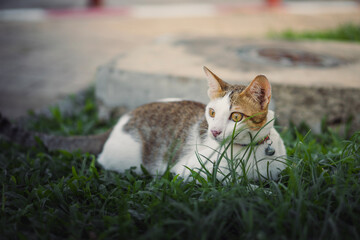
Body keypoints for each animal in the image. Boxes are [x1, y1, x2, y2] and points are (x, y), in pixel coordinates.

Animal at [96, 66, 286, 181]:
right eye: (212, 112)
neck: (250, 148)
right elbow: (236, 183)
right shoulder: (191, 170)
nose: (214, 131)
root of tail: (123, 119)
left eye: (236, 117)